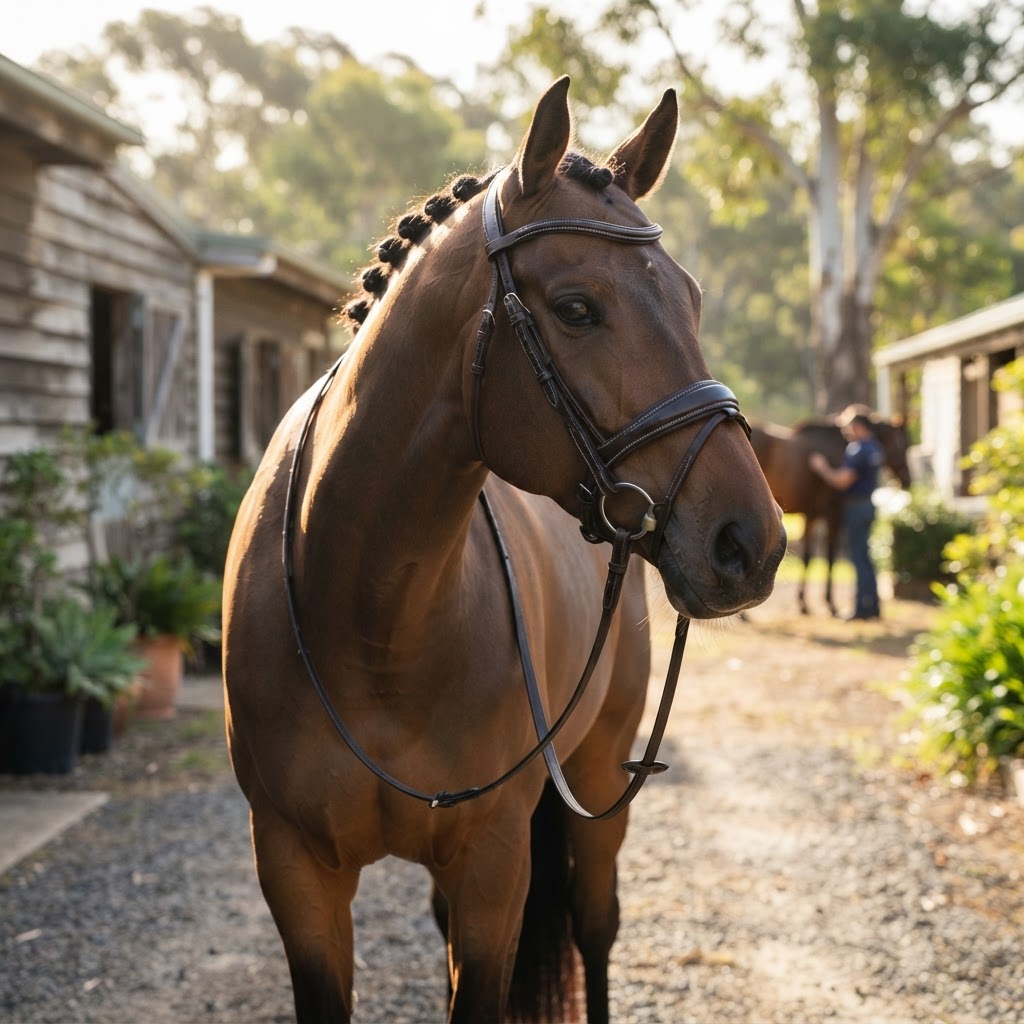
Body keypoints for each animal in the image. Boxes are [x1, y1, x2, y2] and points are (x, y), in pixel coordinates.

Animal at [223, 78, 786, 1024]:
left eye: (693, 299)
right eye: (576, 307)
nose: (754, 542)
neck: (370, 622)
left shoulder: (493, 865)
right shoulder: (295, 871)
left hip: (599, 778)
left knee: (596, 931)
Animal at [749, 414, 910, 616]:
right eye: (903, 445)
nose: (908, 480)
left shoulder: (811, 515)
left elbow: (808, 557)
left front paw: (804, 603)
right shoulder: (834, 516)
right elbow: (831, 556)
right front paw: (830, 603)